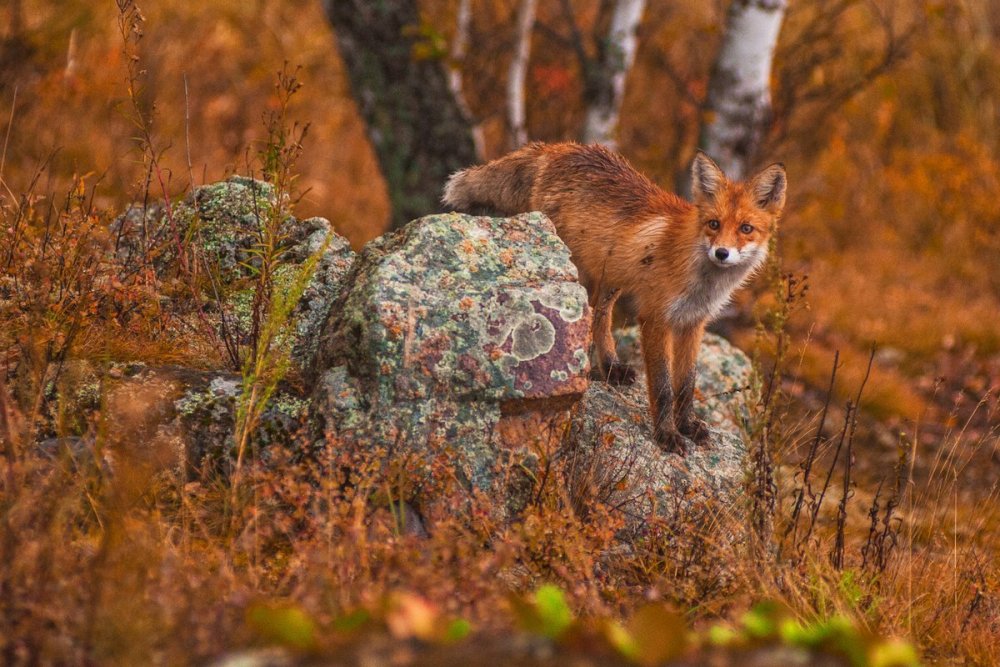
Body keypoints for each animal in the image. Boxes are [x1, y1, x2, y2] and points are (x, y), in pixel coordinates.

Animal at [442, 141, 784, 454]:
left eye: (746, 228)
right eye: (714, 224)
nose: (721, 253)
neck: (700, 280)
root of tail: (558, 147)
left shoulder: (692, 323)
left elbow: (686, 385)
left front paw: (686, 425)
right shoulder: (655, 318)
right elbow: (663, 387)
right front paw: (666, 435)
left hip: (610, 278)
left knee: (599, 314)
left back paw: (609, 367)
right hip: (574, 269)